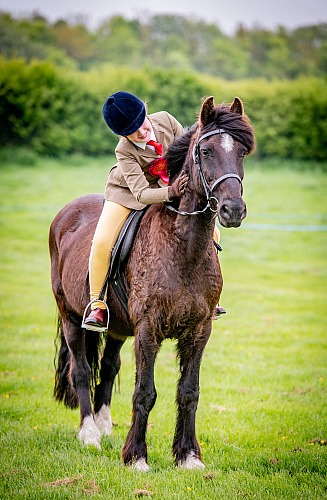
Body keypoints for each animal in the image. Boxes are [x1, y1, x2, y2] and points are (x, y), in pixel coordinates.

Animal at [49, 95, 256, 470]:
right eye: (206, 152)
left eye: (242, 153)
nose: (233, 210)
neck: (184, 248)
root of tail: (66, 213)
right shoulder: (148, 329)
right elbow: (144, 392)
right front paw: (136, 458)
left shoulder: (199, 330)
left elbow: (189, 391)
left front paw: (188, 456)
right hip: (70, 316)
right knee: (82, 370)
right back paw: (89, 434)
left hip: (117, 326)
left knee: (109, 366)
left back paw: (104, 426)